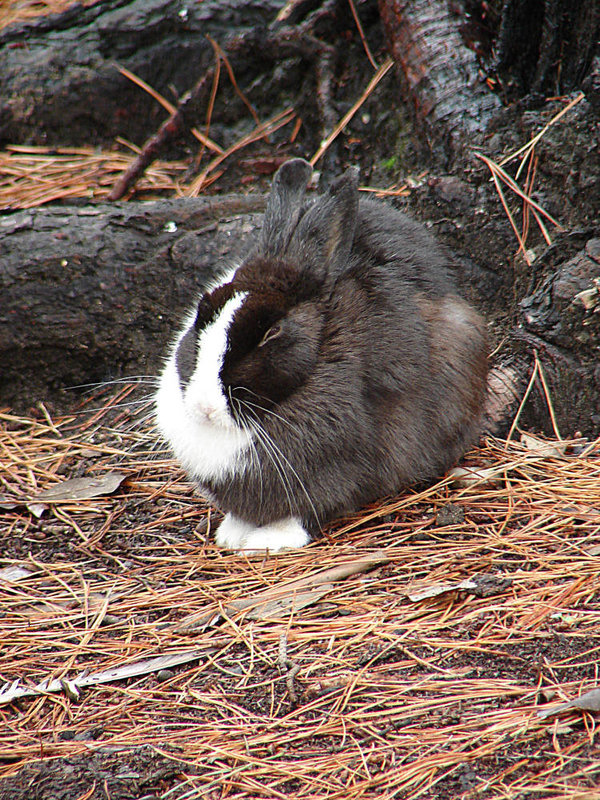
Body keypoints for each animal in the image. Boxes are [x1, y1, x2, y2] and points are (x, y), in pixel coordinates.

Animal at [155, 159, 488, 552]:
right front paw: (232, 532)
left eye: (271, 332)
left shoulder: (340, 470)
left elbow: (311, 509)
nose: (204, 406)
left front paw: (267, 539)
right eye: (200, 316)